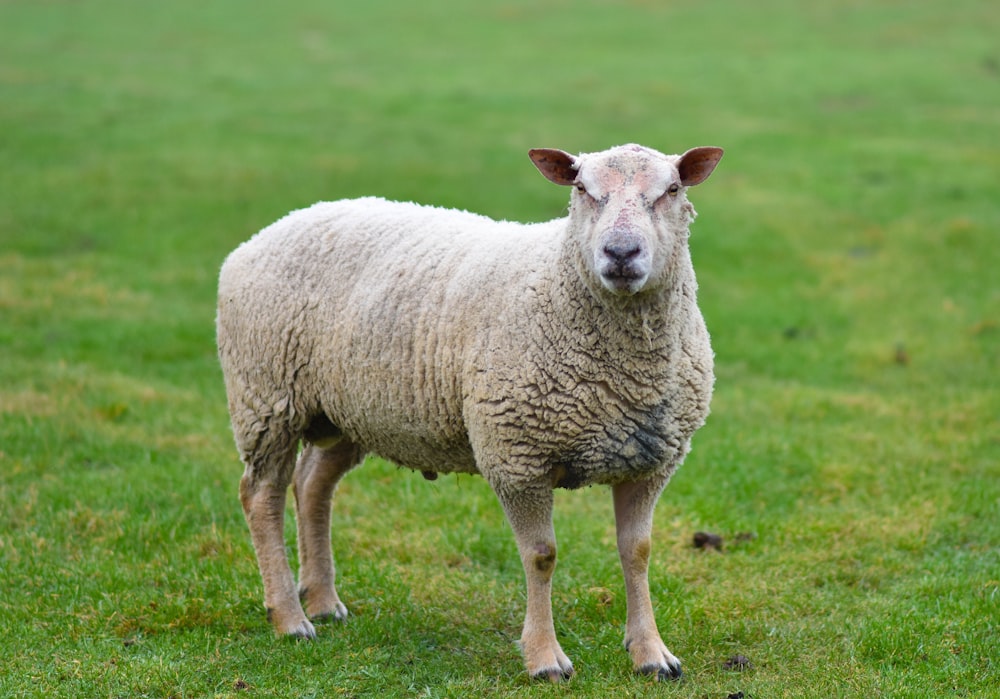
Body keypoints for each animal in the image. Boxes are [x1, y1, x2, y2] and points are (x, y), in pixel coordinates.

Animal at [215, 144, 724, 684]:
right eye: (582, 189)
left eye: (672, 190)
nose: (621, 253)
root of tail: (270, 230)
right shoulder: (516, 456)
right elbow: (541, 557)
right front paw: (544, 658)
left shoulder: (649, 462)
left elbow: (638, 552)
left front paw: (651, 653)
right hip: (266, 398)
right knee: (262, 497)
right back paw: (290, 618)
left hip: (350, 411)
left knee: (312, 485)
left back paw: (324, 602)